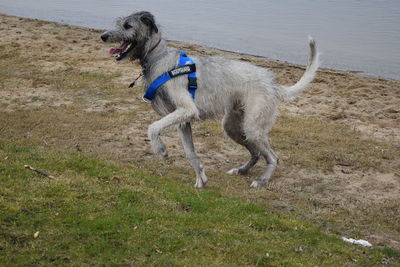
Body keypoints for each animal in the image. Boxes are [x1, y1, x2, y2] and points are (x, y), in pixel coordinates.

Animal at [101, 11, 320, 188]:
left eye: (127, 26)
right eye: (119, 23)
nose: (103, 36)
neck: (159, 59)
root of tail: (272, 84)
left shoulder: (187, 110)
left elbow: (153, 127)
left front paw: (160, 149)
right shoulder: (183, 120)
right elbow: (190, 153)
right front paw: (201, 178)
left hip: (252, 127)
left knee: (273, 157)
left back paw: (262, 180)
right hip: (233, 127)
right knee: (256, 153)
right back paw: (242, 170)